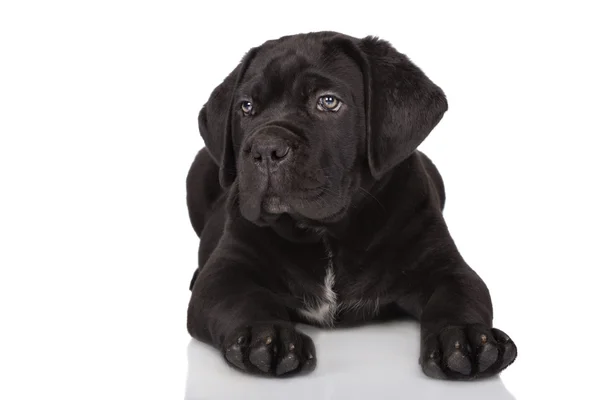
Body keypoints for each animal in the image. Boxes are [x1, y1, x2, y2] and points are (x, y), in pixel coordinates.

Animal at [186, 32, 516, 382]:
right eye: (246, 107)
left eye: (328, 101)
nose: (265, 148)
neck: (328, 233)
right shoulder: (226, 272)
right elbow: (246, 300)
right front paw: (265, 335)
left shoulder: (446, 266)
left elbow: (458, 297)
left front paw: (467, 337)